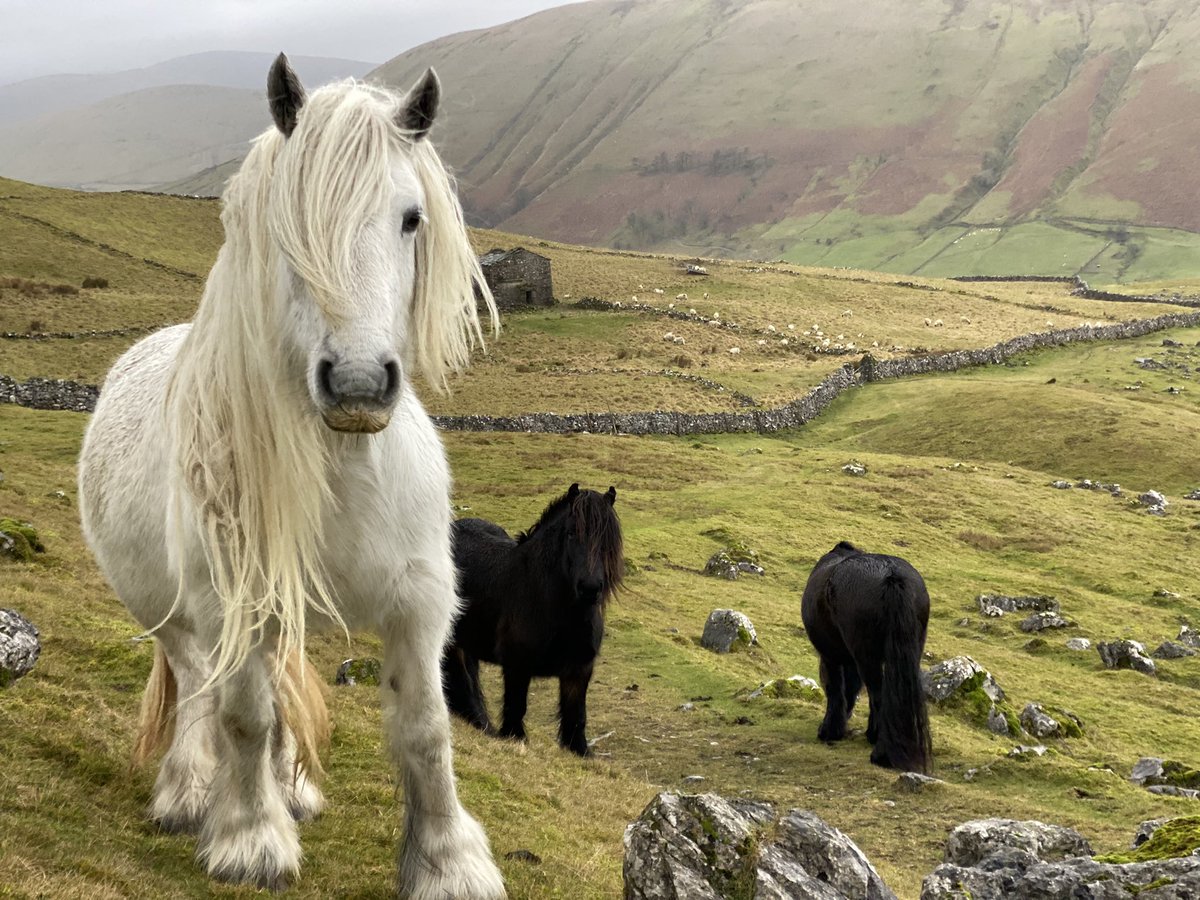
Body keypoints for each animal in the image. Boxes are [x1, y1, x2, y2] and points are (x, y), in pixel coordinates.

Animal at [76, 55, 506, 898]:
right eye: (289, 227)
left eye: (411, 218)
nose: (359, 384)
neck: (347, 470)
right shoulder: (232, 599)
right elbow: (244, 712)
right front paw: (250, 837)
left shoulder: (419, 601)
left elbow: (425, 730)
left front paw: (449, 863)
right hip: (171, 612)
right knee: (200, 685)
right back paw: (190, 792)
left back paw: (292, 789)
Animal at [442, 484, 623, 757]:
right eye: (571, 534)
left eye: (607, 539)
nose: (590, 588)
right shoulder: (517, 666)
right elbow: (516, 710)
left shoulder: (579, 671)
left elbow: (576, 720)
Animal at [801, 541, 933, 773]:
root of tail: (891, 575)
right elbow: (852, 688)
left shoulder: (830, 656)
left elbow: (836, 689)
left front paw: (829, 731)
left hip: (866, 656)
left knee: (878, 695)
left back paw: (881, 754)